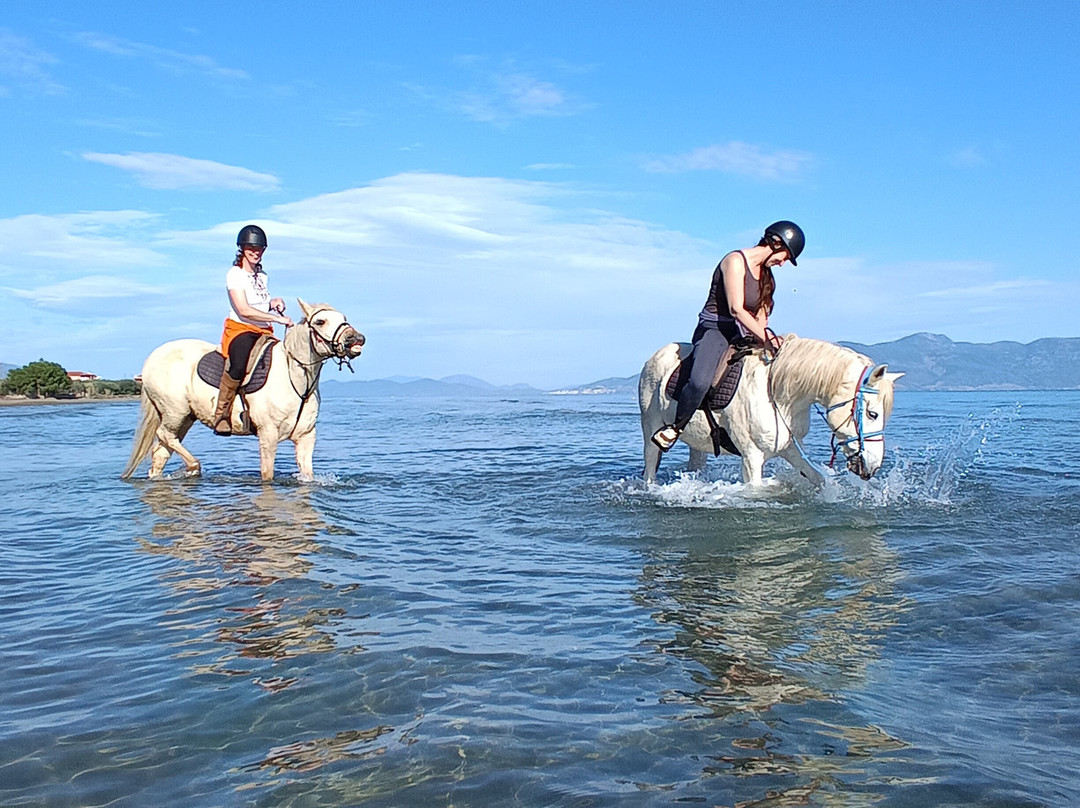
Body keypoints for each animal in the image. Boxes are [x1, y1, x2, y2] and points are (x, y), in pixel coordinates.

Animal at [121, 299, 364, 482]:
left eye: (343, 318)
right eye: (320, 321)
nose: (356, 339)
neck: (294, 380)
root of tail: (152, 359)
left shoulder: (306, 437)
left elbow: (307, 475)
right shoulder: (268, 435)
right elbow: (267, 475)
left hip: (184, 418)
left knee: (161, 452)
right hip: (175, 412)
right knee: (164, 437)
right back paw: (194, 467)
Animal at [638, 335, 902, 486]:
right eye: (872, 414)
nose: (873, 466)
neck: (779, 397)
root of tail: (656, 356)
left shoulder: (790, 448)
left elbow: (818, 479)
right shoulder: (751, 458)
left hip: (697, 444)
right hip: (651, 430)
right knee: (650, 470)